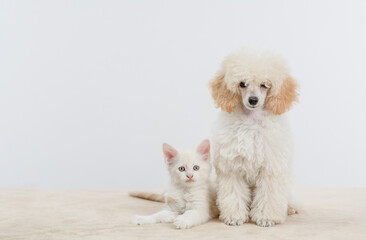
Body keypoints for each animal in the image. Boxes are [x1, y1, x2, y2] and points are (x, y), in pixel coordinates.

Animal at [210, 48, 298, 227]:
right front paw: (234, 217)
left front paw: (266, 218)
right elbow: (233, 193)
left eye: (265, 85)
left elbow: (268, 194)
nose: (253, 100)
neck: (251, 120)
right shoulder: (232, 167)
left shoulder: (271, 168)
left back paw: (290, 209)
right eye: (242, 84)